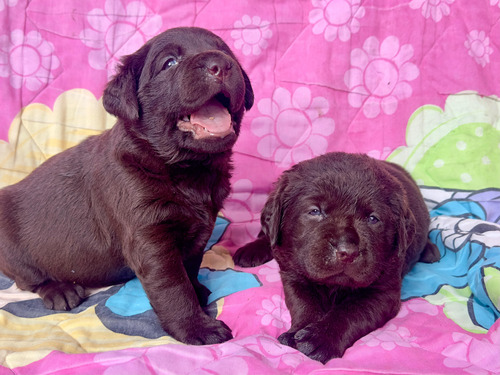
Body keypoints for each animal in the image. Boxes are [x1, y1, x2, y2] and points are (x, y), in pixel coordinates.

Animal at [0, 27, 254, 346]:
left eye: (225, 52)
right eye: (169, 63)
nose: (220, 65)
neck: (186, 169)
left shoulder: (201, 227)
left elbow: (190, 265)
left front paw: (197, 290)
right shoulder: (149, 237)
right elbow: (173, 286)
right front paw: (196, 326)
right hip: (12, 248)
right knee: (29, 278)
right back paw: (60, 290)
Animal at [233, 153, 438, 364]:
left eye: (373, 219)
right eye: (315, 211)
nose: (347, 252)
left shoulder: (384, 291)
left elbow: (352, 312)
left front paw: (320, 339)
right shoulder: (293, 274)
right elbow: (304, 303)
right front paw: (297, 333)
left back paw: (431, 250)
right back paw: (251, 250)